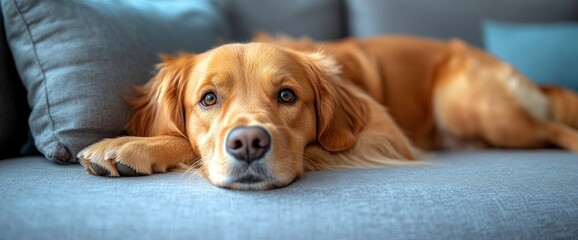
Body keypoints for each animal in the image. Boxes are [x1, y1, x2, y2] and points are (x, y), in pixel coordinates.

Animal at [79, 35, 576, 189]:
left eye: (286, 96)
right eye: (208, 99)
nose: (248, 143)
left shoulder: (384, 135)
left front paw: (128, 145)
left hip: (475, 110)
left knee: (556, 129)